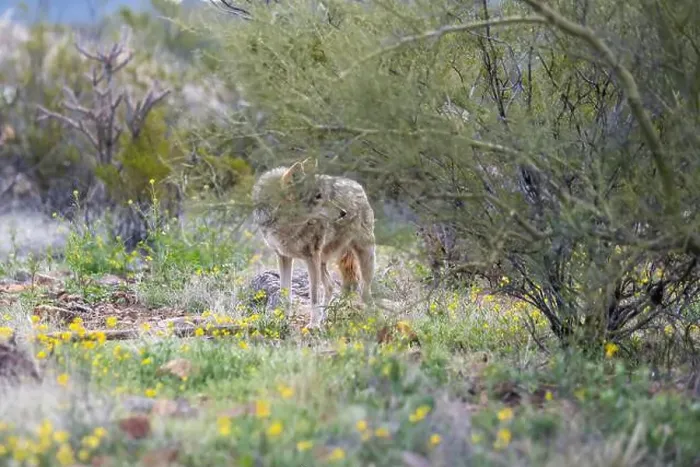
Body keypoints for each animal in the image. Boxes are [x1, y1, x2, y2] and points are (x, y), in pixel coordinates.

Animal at [251, 159, 376, 328]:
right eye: (318, 196)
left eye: (324, 195)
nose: (344, 213)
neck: (287, 225)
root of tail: (357, 185)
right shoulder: (284, 256)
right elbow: (285, 294)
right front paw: (284, 321)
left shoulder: (311, 257)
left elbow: (314, 295)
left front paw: (314, 325)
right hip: (322, 262)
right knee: (330, 285)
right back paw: (325, 318)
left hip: (364, 257)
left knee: (365, 291)